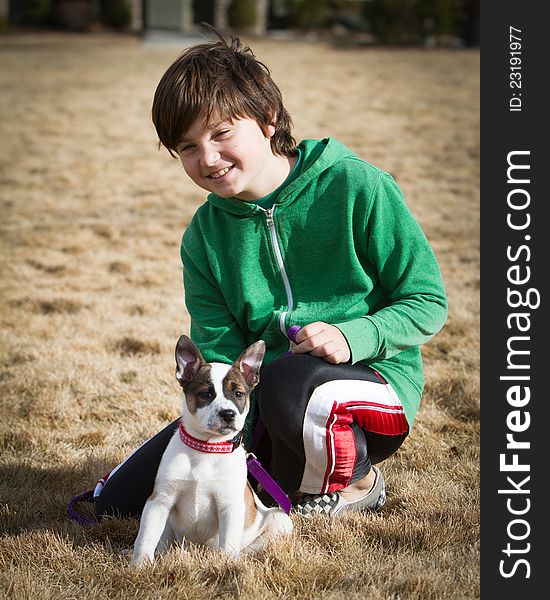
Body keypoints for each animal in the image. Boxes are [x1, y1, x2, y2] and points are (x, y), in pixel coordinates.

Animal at [131, 336, 294, 564]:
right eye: (206, 394)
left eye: (238, 394)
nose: (228, 414)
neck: (207, 447)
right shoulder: (159, 501)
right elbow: (145, 537)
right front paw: (140, 565)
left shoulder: (230, 505)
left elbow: (228, 543)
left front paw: (227, 565)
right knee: (162, 543)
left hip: (280, 520)